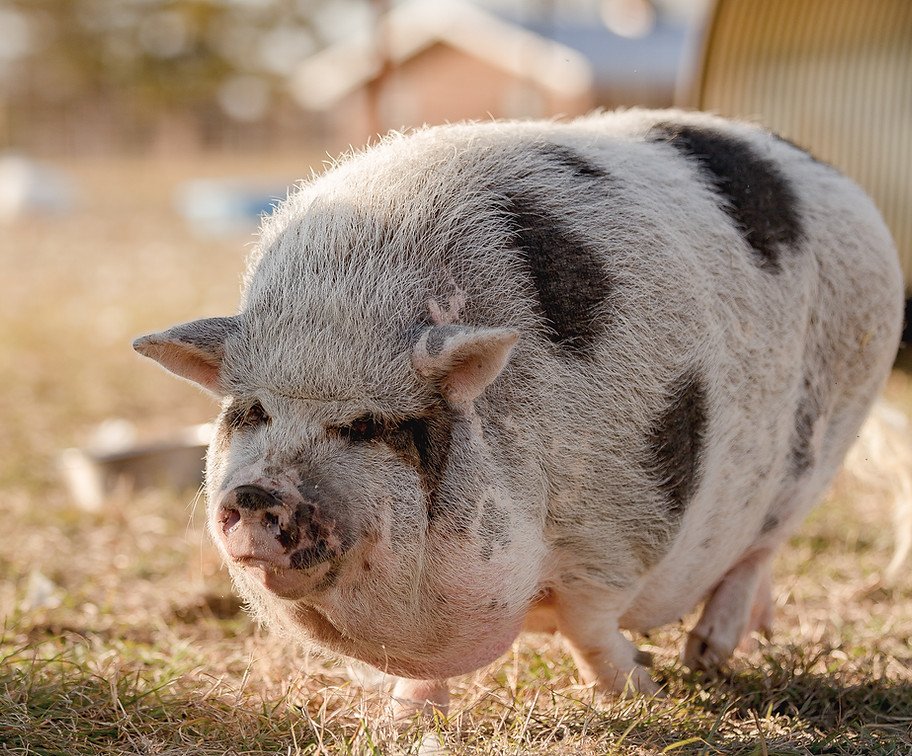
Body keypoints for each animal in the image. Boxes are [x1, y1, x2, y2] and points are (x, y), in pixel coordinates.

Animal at [134, 109, 903, 717]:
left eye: (366, 426)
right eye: (251, 410)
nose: (256, 492)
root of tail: (839, 179)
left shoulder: (622, 524)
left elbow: (590, 626)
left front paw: (640, 692)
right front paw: (406, 721)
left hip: (836, 420)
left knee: (762, 546)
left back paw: (706, 656)